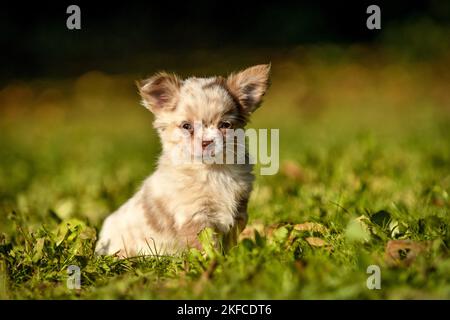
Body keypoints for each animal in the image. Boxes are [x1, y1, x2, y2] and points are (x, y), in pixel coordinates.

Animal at [95, 65, 268, 258]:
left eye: (225, 125)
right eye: (187, 126)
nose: (206, 141)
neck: (214, 171)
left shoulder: (239, 211)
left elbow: (231, 240)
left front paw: (233, 257)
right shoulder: (195, 217)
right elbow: (206, 246)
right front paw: (214, 261)